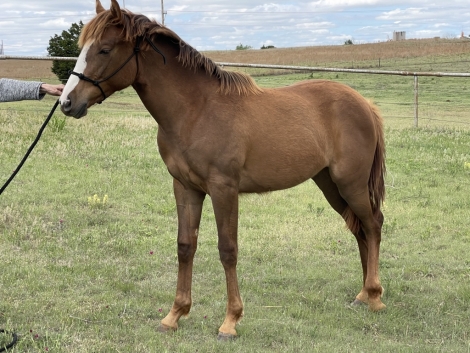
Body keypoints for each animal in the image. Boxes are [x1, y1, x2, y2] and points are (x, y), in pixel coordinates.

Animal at [59, 0, 386, 340]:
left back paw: (375, 296)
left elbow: (227, 249)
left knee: (373, 225)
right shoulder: (185, 187)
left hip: (351, 184)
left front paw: (230, 320)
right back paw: (363, 294)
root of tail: (365, 104)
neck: (197, 110)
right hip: (330, 185)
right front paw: (174, 315)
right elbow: (185, 246)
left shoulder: (224, 189)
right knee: (359, 229)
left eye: (105, 49)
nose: (67, 102)